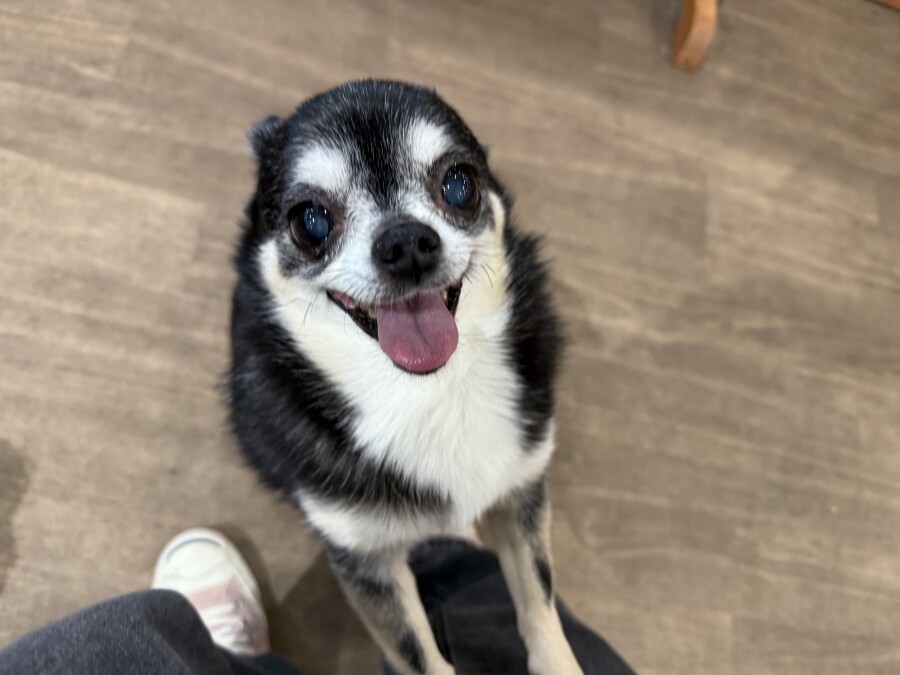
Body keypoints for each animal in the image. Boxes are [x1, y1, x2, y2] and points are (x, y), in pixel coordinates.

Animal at [227, 80, 582, 675]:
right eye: (310, 221)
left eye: (460, 185)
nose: (406, 242)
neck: (429, 390)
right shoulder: (365, 560)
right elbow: (419, 655)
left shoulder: (520, 490)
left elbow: (539, 598)